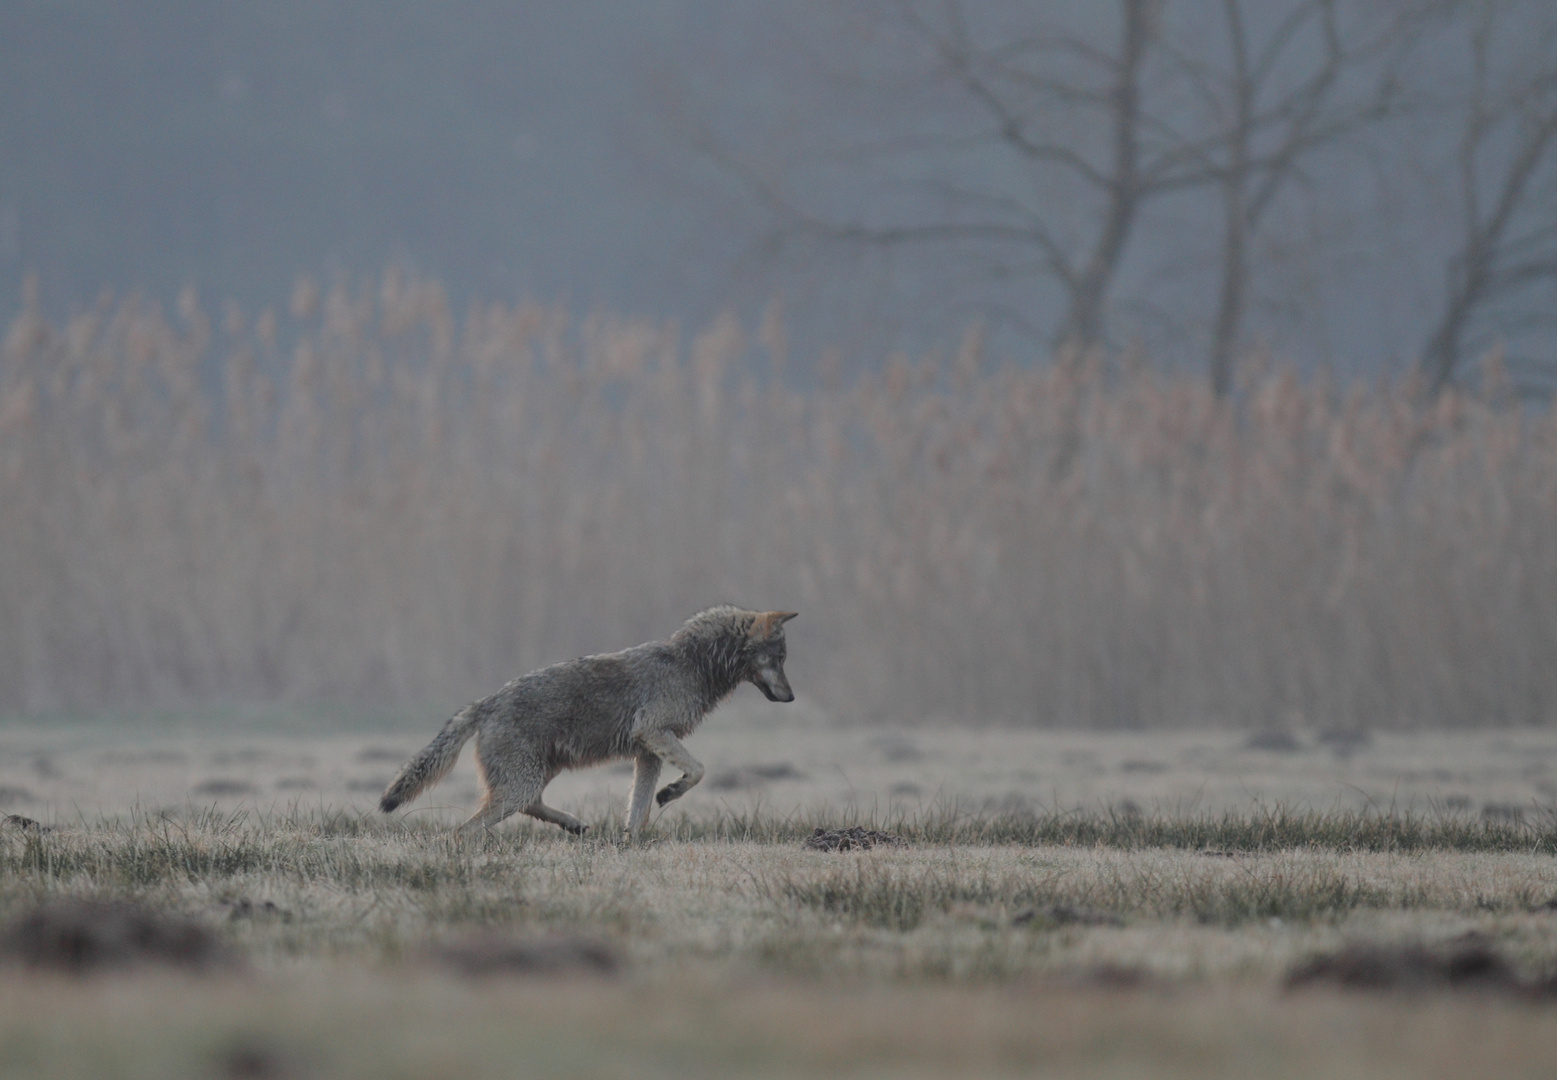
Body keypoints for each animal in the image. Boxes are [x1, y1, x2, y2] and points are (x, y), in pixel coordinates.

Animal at [376, 610, 797, 840]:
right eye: (779, 659)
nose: (792, 697)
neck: (693, 662)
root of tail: (486, 702)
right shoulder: (654, 732)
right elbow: (698, 771)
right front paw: (671, 793)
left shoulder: (648, 752)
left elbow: (638, 811)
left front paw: (631, 844)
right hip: (519, 786)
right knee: (462, 831)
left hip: (540, 775)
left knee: (532, 805)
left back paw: (574, 825)